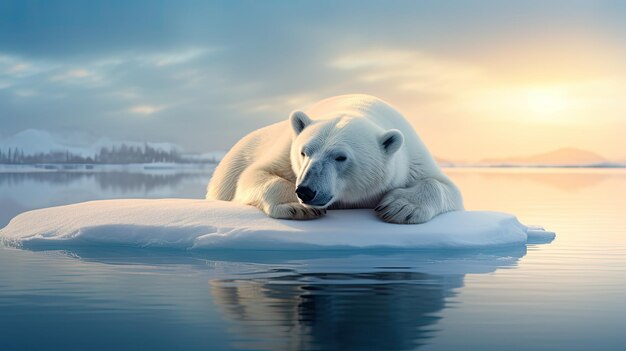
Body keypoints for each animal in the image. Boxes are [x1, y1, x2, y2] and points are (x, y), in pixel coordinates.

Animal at [207, 95, 460, 224]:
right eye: (304, 152)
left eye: (340, 157)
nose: (306, 191)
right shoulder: (285, 154)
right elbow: (254, 174)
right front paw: (295, 207)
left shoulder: (413, 158)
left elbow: (445, 187)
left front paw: (400, 207)